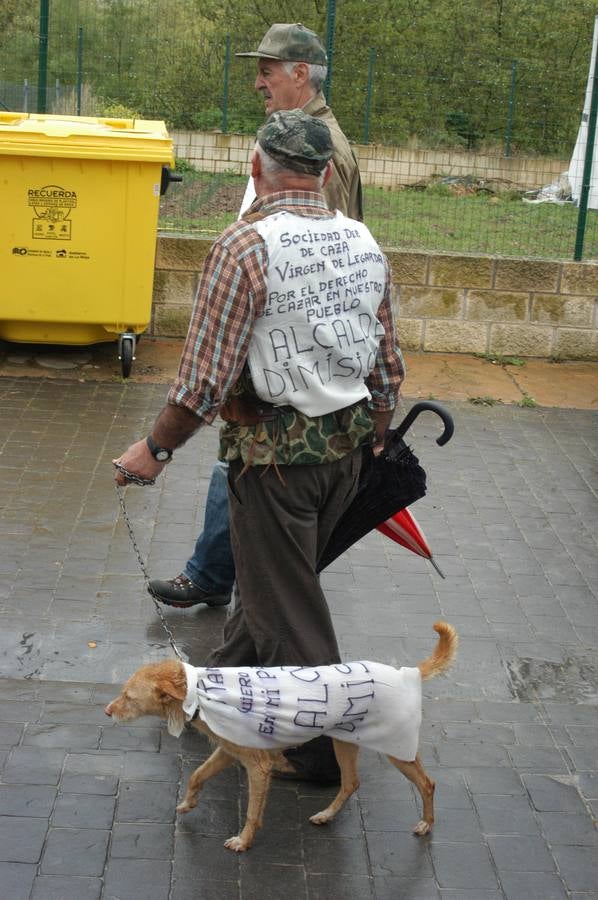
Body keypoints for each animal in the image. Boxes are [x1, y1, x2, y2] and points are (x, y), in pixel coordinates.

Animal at [105, 624, 458, 856]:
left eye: (127, 696)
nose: (107, 711)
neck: (201, 692)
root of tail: (406, 672)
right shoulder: (228, 752)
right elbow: (196, 776)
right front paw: (188, 803)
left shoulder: (258, 766)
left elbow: (251, 812)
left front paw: (243, 841)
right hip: (344, 742)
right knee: (351, 783)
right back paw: (326, 815)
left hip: (398, 750)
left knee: (427, 784)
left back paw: (426, 823)